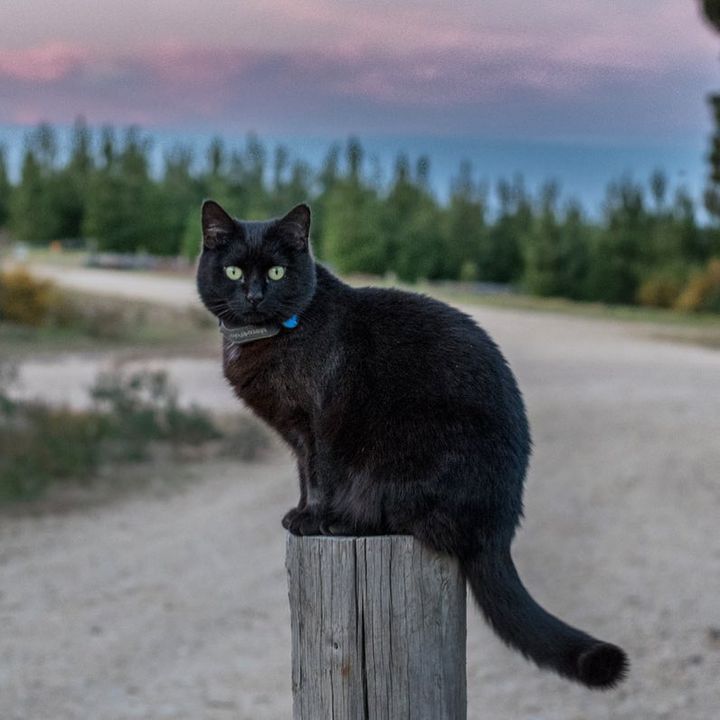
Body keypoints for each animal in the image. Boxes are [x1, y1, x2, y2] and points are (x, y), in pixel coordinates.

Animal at [198, 200, 632, 688]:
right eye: (233, 271)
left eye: (276, 272)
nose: (255, 296)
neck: (273, 336)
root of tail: (500, 528)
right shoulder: (297, 436)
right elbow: (305, 476)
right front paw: (301, 513)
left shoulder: (320, 425)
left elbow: (322, 476)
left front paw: (311, 519)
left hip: (415, 451)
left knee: (415, 523)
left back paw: (342, 523)